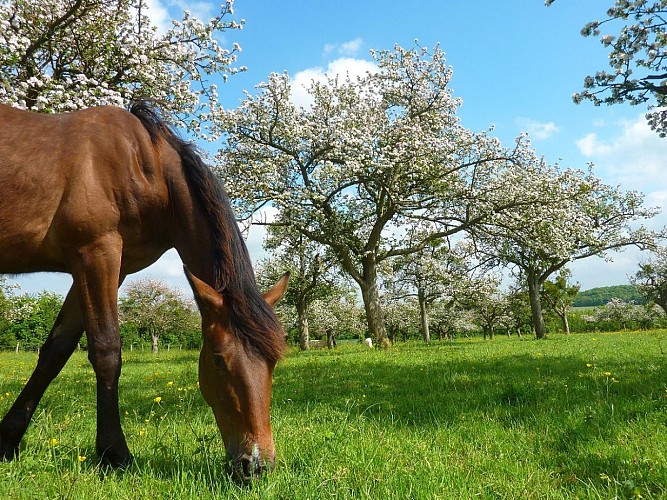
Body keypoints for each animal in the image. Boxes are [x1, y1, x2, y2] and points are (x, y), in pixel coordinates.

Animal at [0, 102, 288, 482]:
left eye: (273, 360)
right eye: (217, 360)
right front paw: (114, 453)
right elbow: (106, 351)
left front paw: (7, 440)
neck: (140, 164)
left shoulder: (103, 267)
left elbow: (54, 352)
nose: (255, 465)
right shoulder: (97, 254)